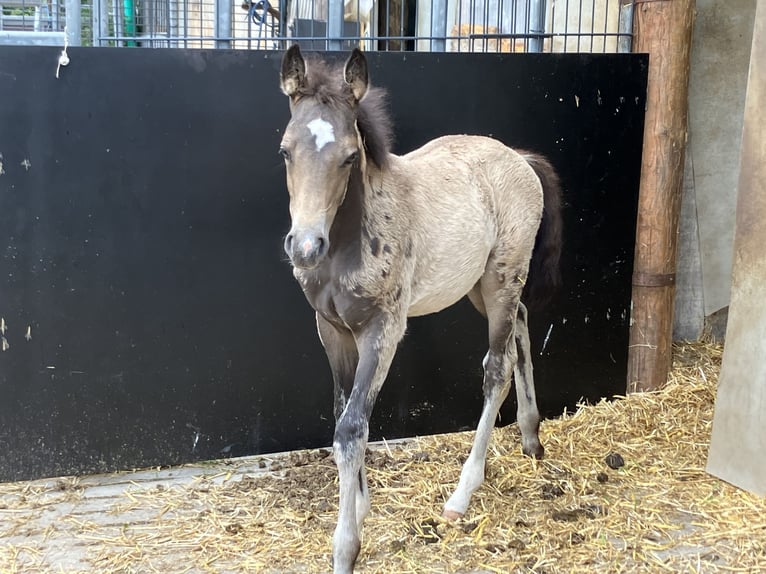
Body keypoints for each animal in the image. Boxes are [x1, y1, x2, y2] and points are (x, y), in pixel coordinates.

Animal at [278, 46, 564, 574]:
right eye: (286, 150)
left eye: (350, 156)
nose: (305, 247)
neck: (351, 238)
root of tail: (520, 157)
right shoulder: (331, 329)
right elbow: (341, 415)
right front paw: (360, 506)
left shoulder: (383, 329)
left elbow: (352, 427)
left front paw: (346, 547)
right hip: (479, 285)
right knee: (522, 326)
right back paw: (531, 437)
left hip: (502, 277)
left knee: (497, 367)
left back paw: (462, 494)